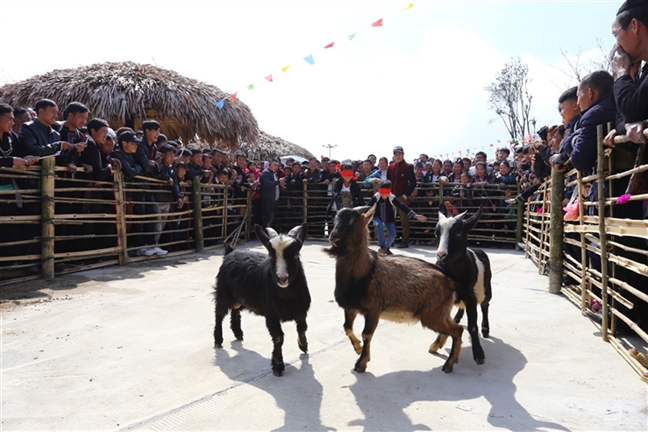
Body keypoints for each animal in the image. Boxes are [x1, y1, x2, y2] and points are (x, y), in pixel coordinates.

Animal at [214, 224, 310, 376]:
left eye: (295, 256)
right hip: (223, 293)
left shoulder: (301, 311)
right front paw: (277, 365)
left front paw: (303, 346)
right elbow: (278, 337)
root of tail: (230, 253)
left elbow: (303, 328)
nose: (282, 278)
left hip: (239, 297)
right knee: (219, 314)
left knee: (235, 310)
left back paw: (238, 333)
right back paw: (218, 340)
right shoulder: (271, 314)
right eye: (271, 256)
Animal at [326, 205, 464, 372]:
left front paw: (361, 363)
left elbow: (367, 334)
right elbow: (347, 328)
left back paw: (449, 364)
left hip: (432, 314)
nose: (333, 235)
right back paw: (436, 347)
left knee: (457, 330)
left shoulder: (373, 310)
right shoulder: (350, 307)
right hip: (441, 312)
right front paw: (358, 349)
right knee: (454, 328)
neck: (365, 272)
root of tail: (450, 282)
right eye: (335, 219)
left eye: (353, 220)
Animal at [430, 205, 492, 364]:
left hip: (486, 289)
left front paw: (479, 354)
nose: (441, 255)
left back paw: (485, 329)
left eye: (458, 233)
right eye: (436, 233)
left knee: (485, 305)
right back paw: (457, 317)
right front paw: (436, 344)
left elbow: (472, 326)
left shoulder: (471, 297)